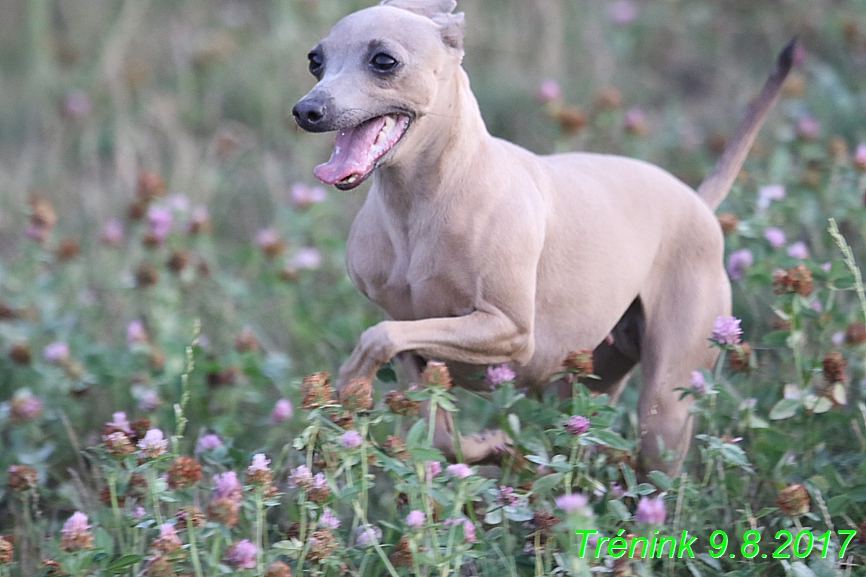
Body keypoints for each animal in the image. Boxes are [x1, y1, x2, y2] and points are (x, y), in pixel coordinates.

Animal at [294, 0, 792, 472]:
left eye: (384, 60)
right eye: (315, 60)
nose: (306, 110)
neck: (423, 202)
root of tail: (698, 202)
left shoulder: (509, 331)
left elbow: (377, 336)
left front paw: (352, 379)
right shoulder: (415, 344)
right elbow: (438, 429)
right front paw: (490, 445)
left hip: (664, 410)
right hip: (583, 387)